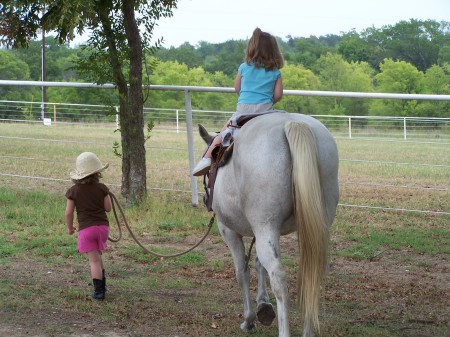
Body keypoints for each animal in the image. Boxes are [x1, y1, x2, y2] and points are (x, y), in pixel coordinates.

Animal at [199, 112, 340, 336]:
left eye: (206, 172)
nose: (205, 199)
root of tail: (293, 123)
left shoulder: (229, 230)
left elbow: (242, 272)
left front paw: (249, 320)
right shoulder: (263, 233)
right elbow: (259, 265)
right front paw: (263, 306)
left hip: (265, 228)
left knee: (279, 279)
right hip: (310, 230)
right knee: (311, 275)